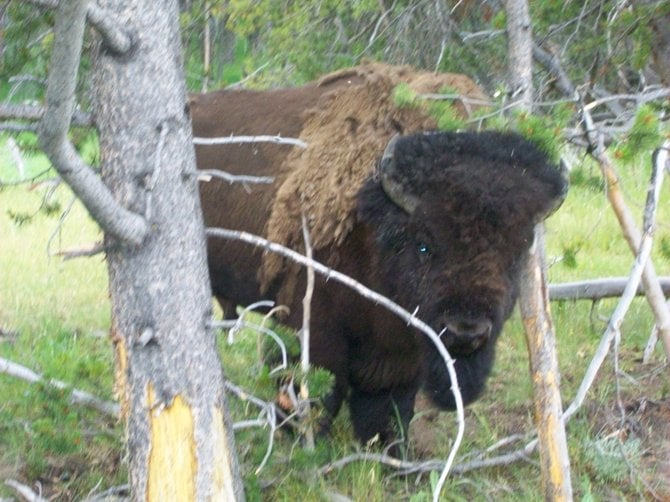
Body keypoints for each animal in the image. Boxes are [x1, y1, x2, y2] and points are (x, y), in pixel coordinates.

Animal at [192, 65, 568, 444]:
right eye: (424, 245)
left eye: (515, 253)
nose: (466, 331)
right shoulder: (308, 328)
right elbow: (314, 396)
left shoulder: (398, 358)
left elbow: (387, 412)